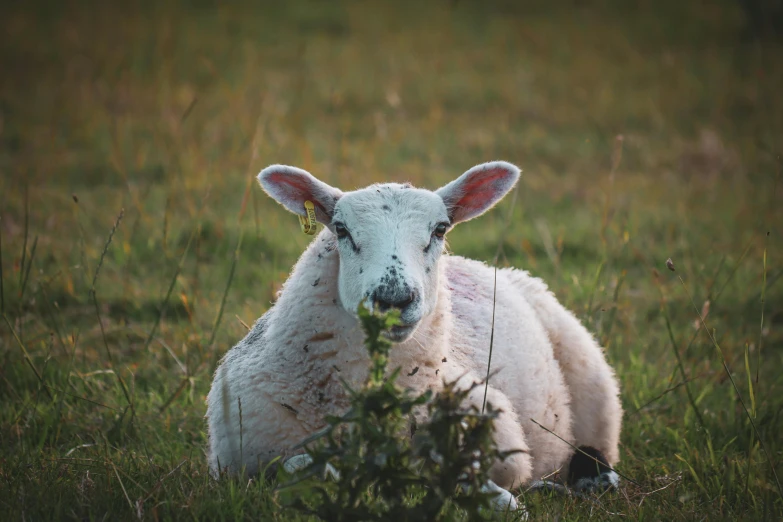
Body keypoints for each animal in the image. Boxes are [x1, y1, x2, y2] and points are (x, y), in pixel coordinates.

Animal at [207, 161, 624, 508]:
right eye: (341, 229)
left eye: (440, 229)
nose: (394, 298)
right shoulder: (236, 462)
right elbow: (300, 465)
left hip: (596, 393)